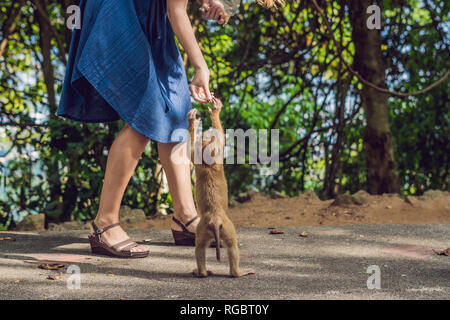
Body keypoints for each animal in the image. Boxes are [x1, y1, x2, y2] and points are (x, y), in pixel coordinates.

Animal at [186, 97, 255, 278]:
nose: (205, 133)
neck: (208, 162)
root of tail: (215, 219)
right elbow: (219, 134)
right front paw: (212, 114)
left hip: (204, 229)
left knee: (200, 248)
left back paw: (202, 272)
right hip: (226, 227)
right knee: (232, 246)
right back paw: (237, 272)